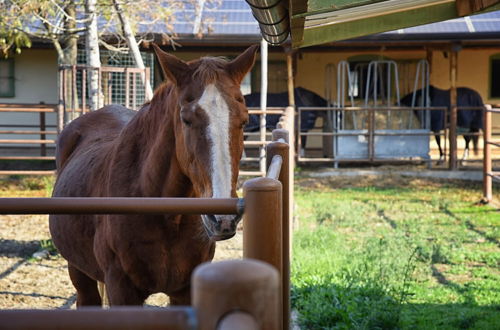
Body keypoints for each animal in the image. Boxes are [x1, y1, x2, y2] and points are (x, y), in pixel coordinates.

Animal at [49, 43, 260, 306]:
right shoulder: (122, 290)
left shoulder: (185, 292)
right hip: (79, 272)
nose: (222, 218)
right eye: (186, 120)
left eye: (244, 120)